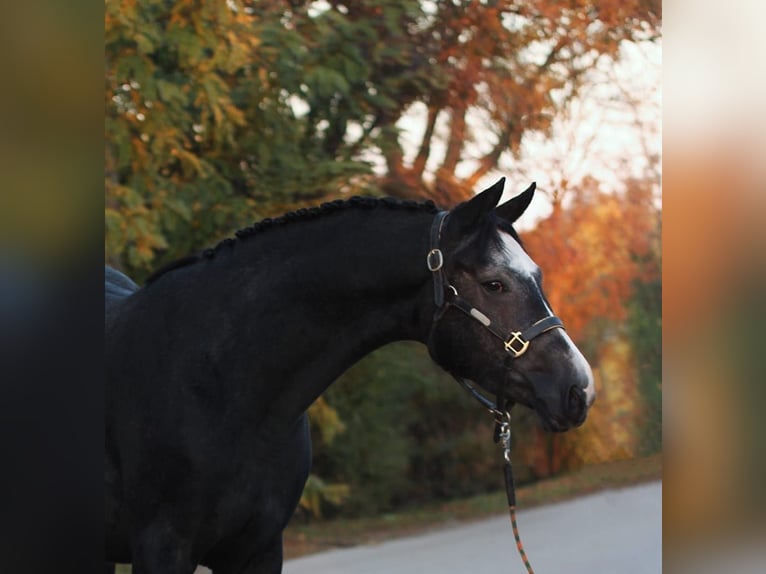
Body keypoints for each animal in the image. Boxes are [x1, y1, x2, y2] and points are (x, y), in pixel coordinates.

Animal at [103, 178, 592, 572]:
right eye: (494, 284)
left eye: (537, 275)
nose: (579, 388)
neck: (217, 380)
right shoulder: (163, 550)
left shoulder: (260, 549)